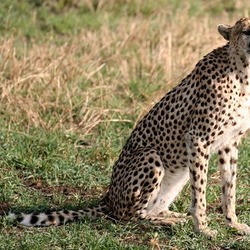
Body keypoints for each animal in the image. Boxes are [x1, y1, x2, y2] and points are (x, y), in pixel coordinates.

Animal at [7, 17, 250, 236]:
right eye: (246, 31)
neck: (243, 73)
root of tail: (108, 197)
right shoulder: (198, 139)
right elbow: (200, 193)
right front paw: (202, 229)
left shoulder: (229, 143)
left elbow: (229, 187)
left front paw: (233, 224)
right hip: (150, 155)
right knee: (130, 216)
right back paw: (167, 222)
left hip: (178, 174)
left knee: (152, 208)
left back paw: (173, 215)